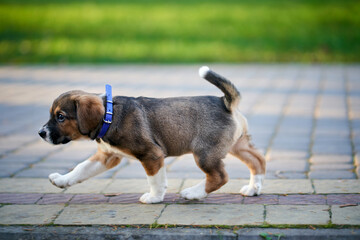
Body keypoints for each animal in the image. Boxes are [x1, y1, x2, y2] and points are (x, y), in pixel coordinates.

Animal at [38, 66, 264, 203]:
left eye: (60, 117)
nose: (40, 133)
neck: (110, 115)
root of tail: (225, 102)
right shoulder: (107, 156)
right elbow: (81, 169)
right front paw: (62, 180)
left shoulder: (151, 155)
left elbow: (154, 180)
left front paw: (154, 198)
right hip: (237, 146)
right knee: (258, 161)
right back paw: (253, 188)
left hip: (205, 153)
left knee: (219, 176)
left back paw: (193, 193)